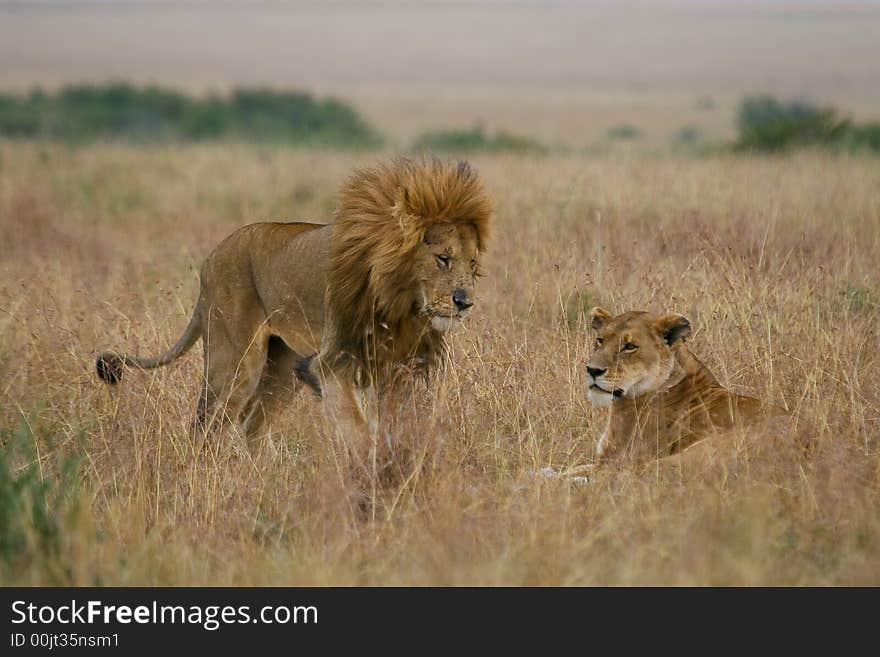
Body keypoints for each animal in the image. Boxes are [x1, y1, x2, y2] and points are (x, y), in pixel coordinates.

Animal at [98, 157, 496, 444]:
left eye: (473, 264)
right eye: (443, 259)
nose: (464, 302)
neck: (402, 305)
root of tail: (210, 260)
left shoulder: (399, 368)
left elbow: (393, 426)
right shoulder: (331, 362)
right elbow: (357, 427)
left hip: (282, 367)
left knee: (251, 427)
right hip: (235, 361)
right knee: (208, 422)